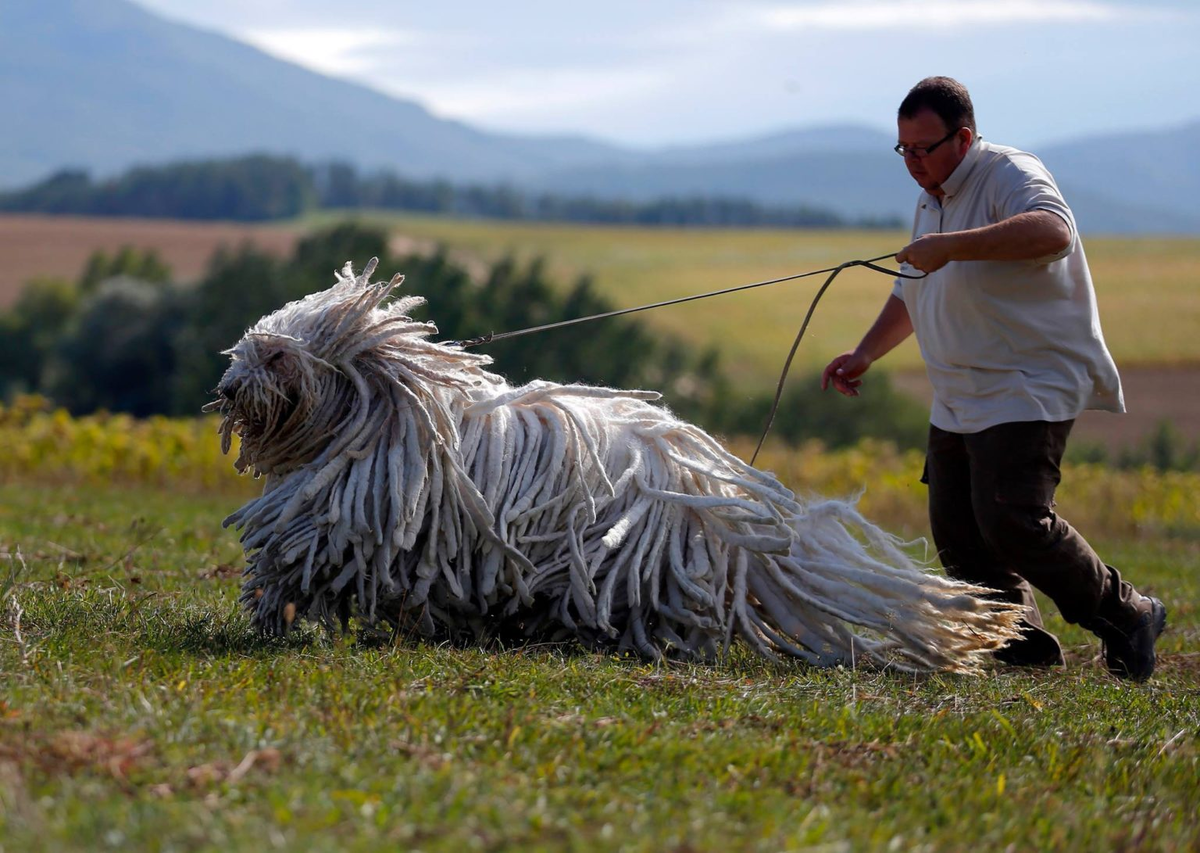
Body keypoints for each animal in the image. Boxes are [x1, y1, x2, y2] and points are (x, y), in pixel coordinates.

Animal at [208, 256, 1022, 671]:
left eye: (277, 357)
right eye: (245, 348)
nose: (228, 388)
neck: (382, 413)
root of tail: (712, 486)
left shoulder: (345, 517)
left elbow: (294, 555)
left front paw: (271, 612)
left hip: (624, 556)